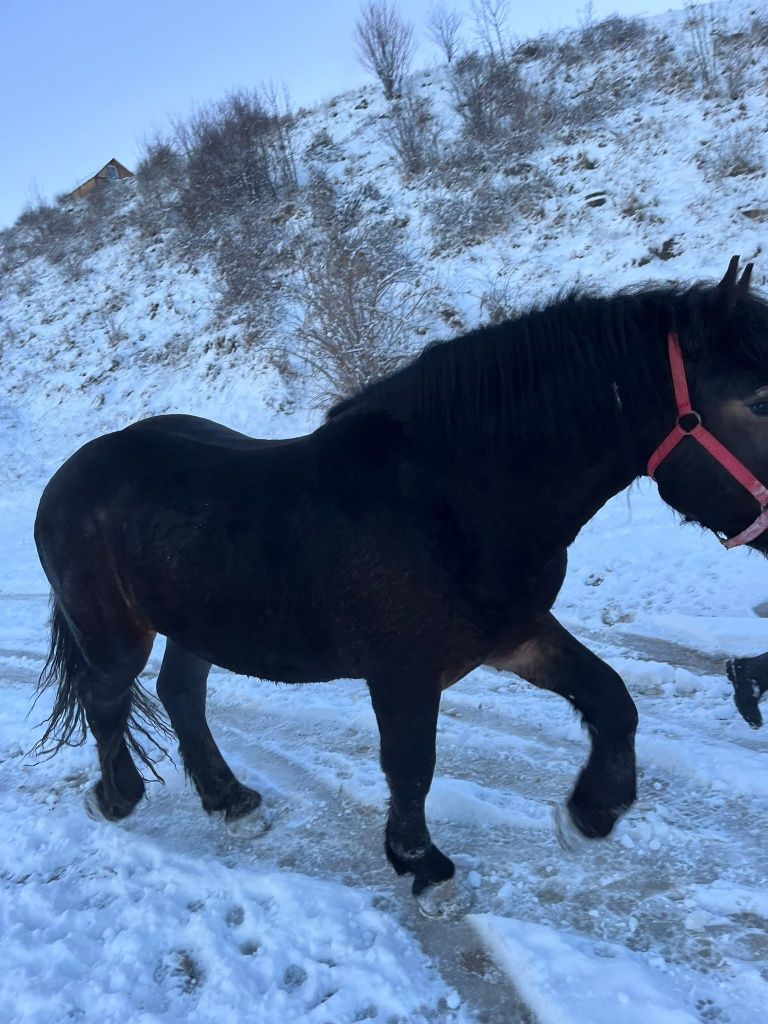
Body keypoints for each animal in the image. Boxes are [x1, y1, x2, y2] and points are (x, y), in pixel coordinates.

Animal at [34, 258, 768, 897]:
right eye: (759, 403)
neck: (455, 495)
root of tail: (70, 473)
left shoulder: (517, 635)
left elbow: (612, 698)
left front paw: (590, 814)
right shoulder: (402, 673)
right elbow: (412, 766)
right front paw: (422, 865)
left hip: (198, 622)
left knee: (181, 693)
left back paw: (231, 801)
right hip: (114, 634)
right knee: (108, 700)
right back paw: (116, 798)